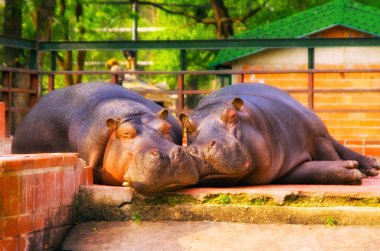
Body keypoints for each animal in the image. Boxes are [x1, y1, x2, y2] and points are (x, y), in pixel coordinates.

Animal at [181, 83, 380, 186]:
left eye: (232, 115)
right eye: (187, 126)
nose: (202, 149)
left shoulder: (317, 138)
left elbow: (331, 155)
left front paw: (356, 170)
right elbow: (309, 171)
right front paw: (351, 169)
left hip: (317, 127)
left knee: (338, 146)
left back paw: (372, 166)